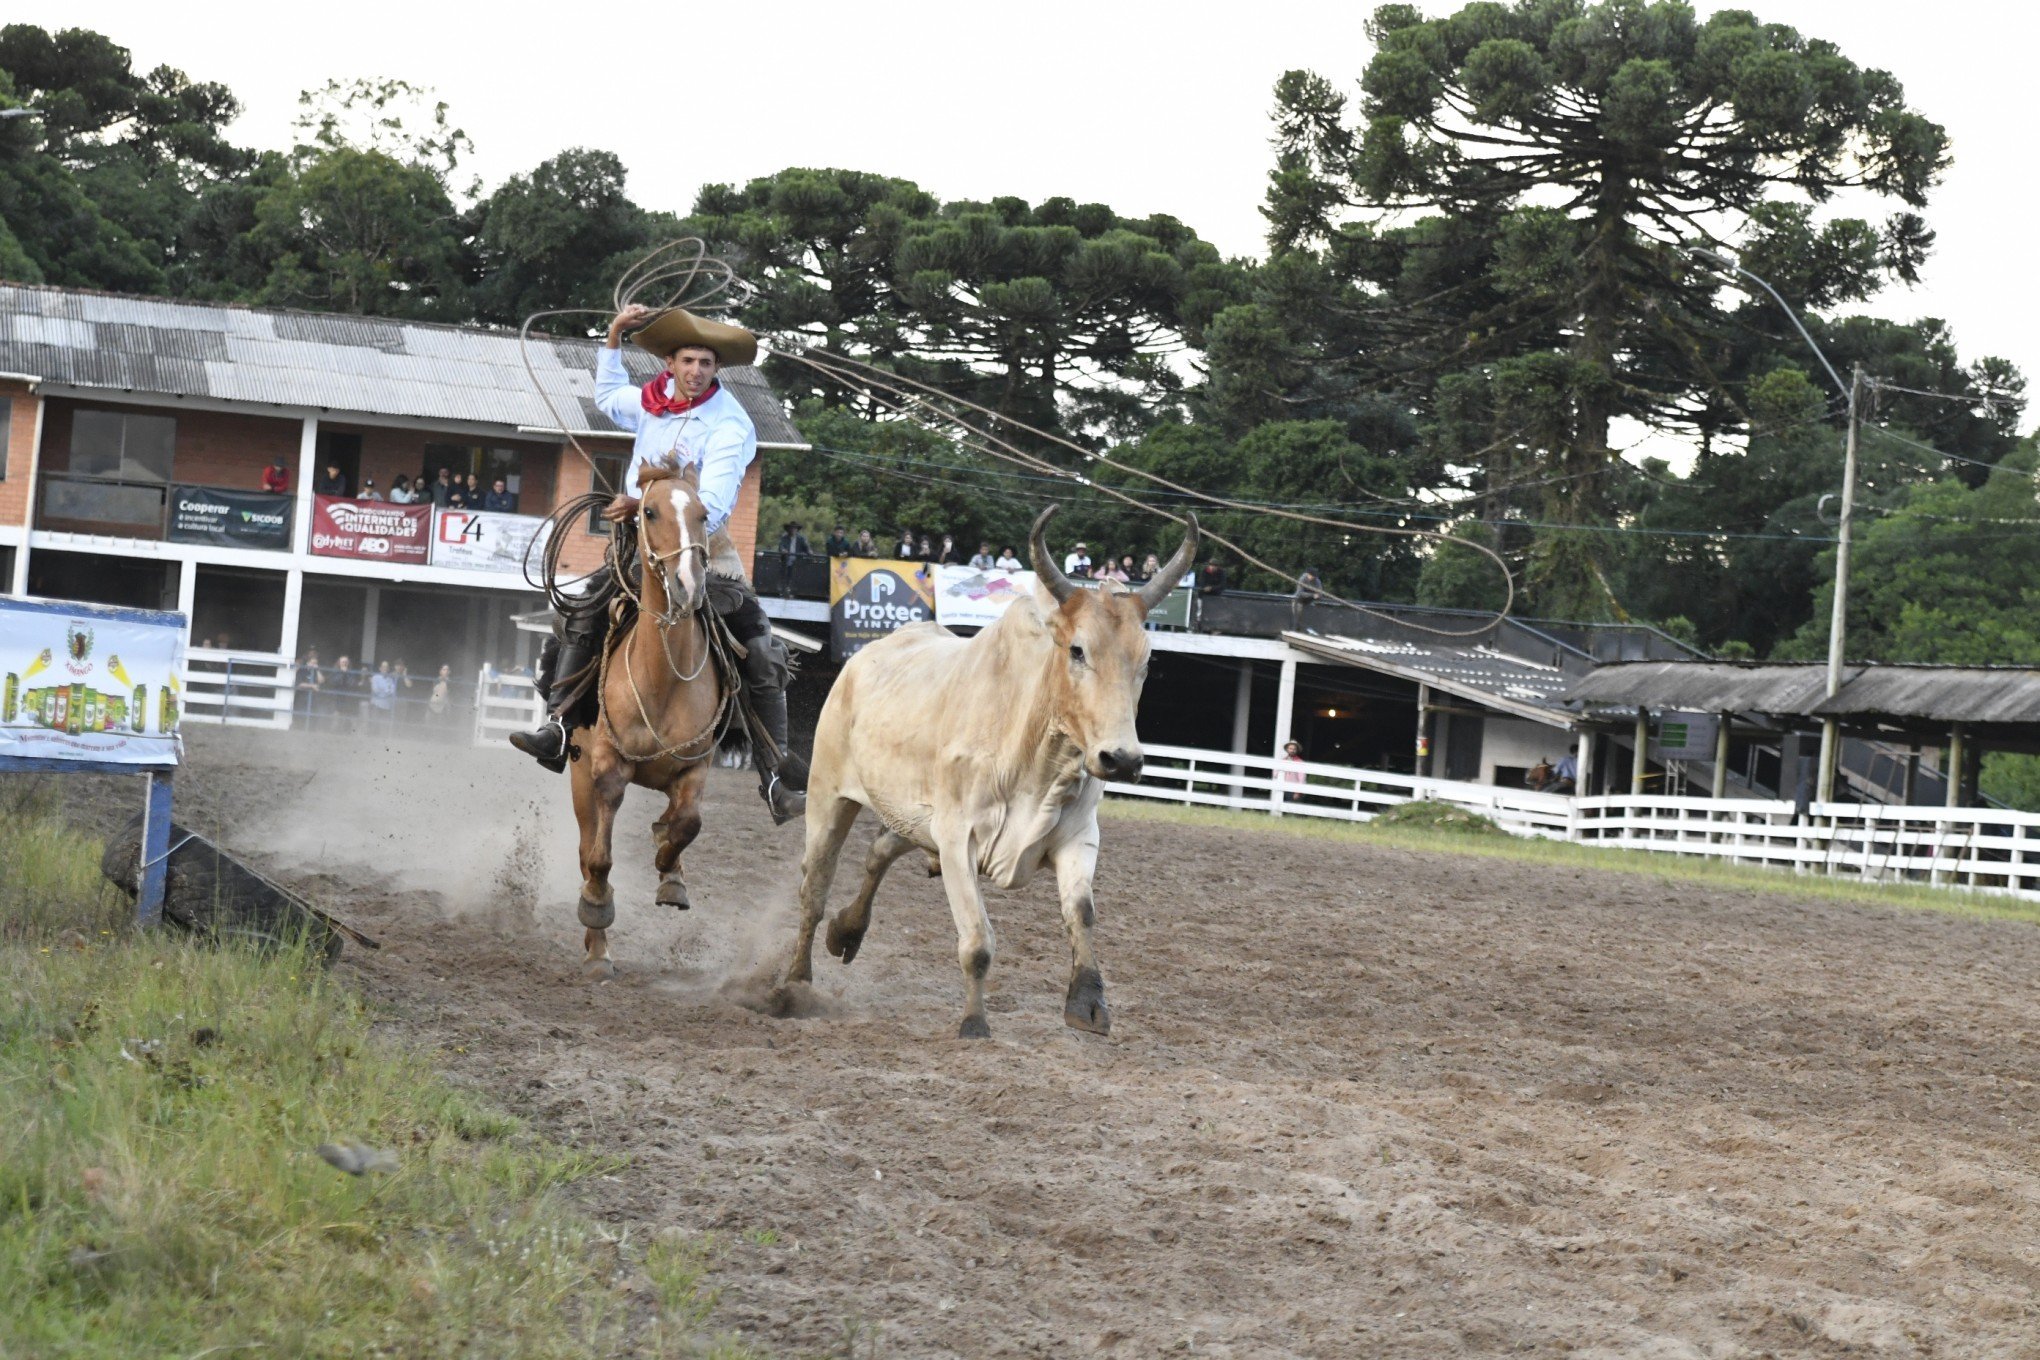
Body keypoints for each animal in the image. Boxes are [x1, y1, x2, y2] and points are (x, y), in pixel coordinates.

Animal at [567, 460, 734, 978]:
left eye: (704, 514)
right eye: (650, 511)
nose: (687, 585)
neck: (663, 679)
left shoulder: (695, 767)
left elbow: (687, 825)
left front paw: (671, 875)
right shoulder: (606, 770)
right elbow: (600, 861)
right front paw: (597, 910)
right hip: (578, 777)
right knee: (586, 854)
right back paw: (595, 949)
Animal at [775, 505, 1191, 1035]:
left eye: (1147, 659)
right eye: (1077, 650)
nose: (1122, 759)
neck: (1035, 756)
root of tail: (859, 659)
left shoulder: (1079, 837)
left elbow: (1081, 913)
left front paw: (1088, 1003)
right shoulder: (958, 838)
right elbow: (976, 940)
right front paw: (974, 1022)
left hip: (913, 815)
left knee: (879, 850)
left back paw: (846, 932)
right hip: (830, 797)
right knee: (815, 887)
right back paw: (796, 982)